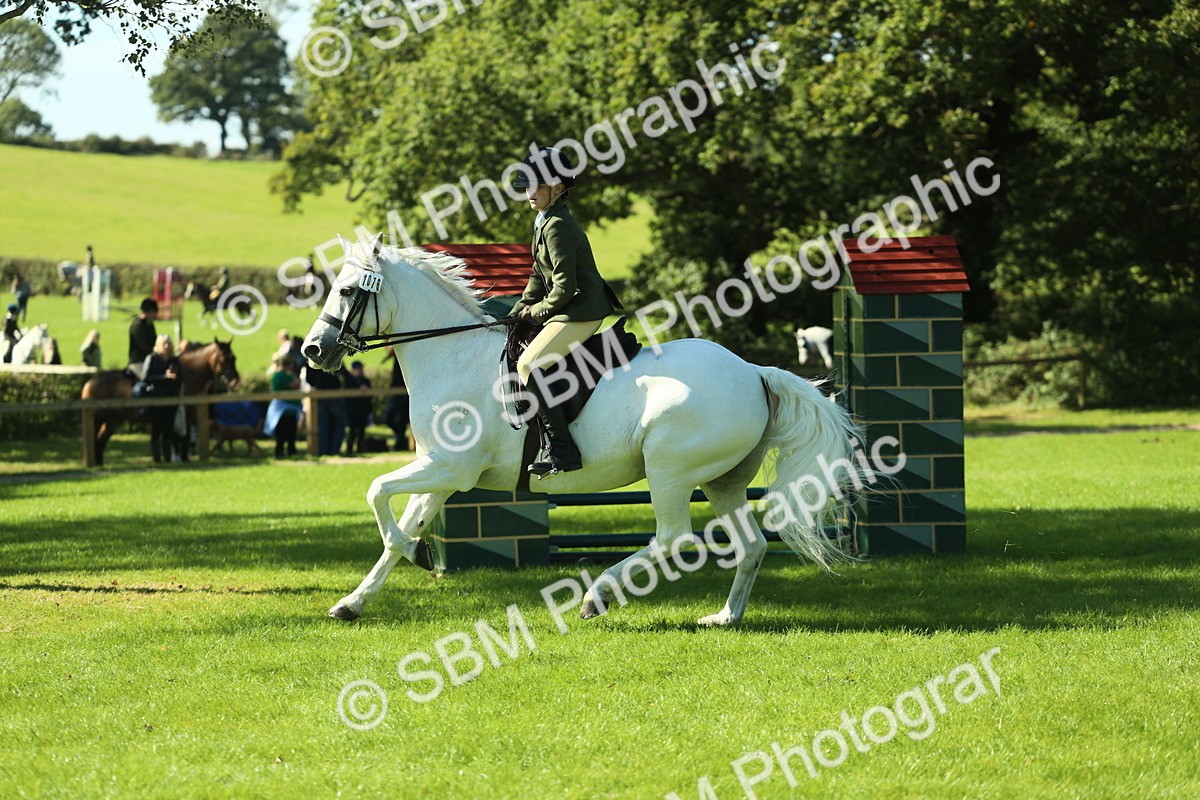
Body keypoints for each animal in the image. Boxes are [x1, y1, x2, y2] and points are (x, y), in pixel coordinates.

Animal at [80, 339, 240, 465]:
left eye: (234, 357)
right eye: (223, 357)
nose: (235, 380)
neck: (184, 377)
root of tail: (90, 381)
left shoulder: (187, 419)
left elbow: (184, 439)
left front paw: (183, 458)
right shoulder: (178, 417)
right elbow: (178, 439)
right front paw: (177, 458)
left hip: (112, 421)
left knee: (100, 441)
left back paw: (99, 463)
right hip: (97, 419)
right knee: (94, 440)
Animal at [302, 235, 864, 627]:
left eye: (347, 291)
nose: (312, 351)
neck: (450, 353)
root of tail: (754, 372)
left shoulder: (450, 468)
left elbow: (377, 490)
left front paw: (412, 554)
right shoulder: (439, 471)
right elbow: (397, 527)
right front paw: (356, 600)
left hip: (670, 470)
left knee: (673, 537)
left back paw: (597, 597)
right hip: (721, 479)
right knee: (750, 547)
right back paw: (725, 617)